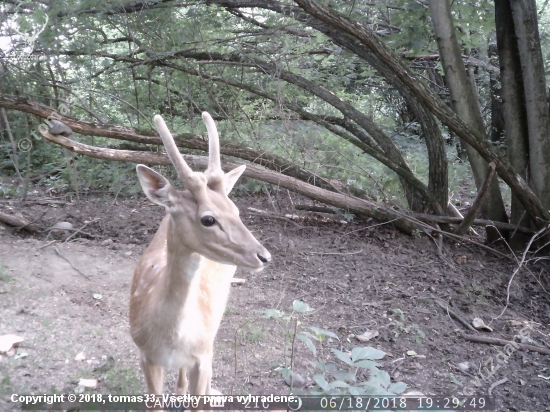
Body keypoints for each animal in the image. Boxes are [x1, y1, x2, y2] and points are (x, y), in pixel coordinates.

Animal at [130, 112, 271, 395]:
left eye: (236, 210)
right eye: (208, 219)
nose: (264, 256)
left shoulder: (202, 356)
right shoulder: (145, 356)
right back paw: (180, 388)